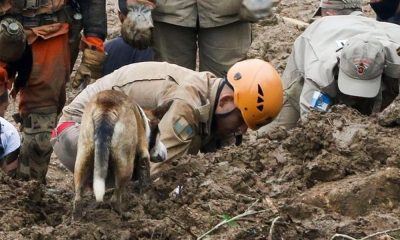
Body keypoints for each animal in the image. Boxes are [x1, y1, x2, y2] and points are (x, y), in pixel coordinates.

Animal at [72, 88, 171, 219]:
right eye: (159, 135)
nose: (165, 153)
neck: (144, 121)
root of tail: (107, 108)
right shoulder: (143, 155)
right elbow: (145, 181)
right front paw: (146, 202)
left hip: (83, 157)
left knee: (78, 196)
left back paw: (76, 219)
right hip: (126, 165)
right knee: (114, 199)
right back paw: (124, 215)